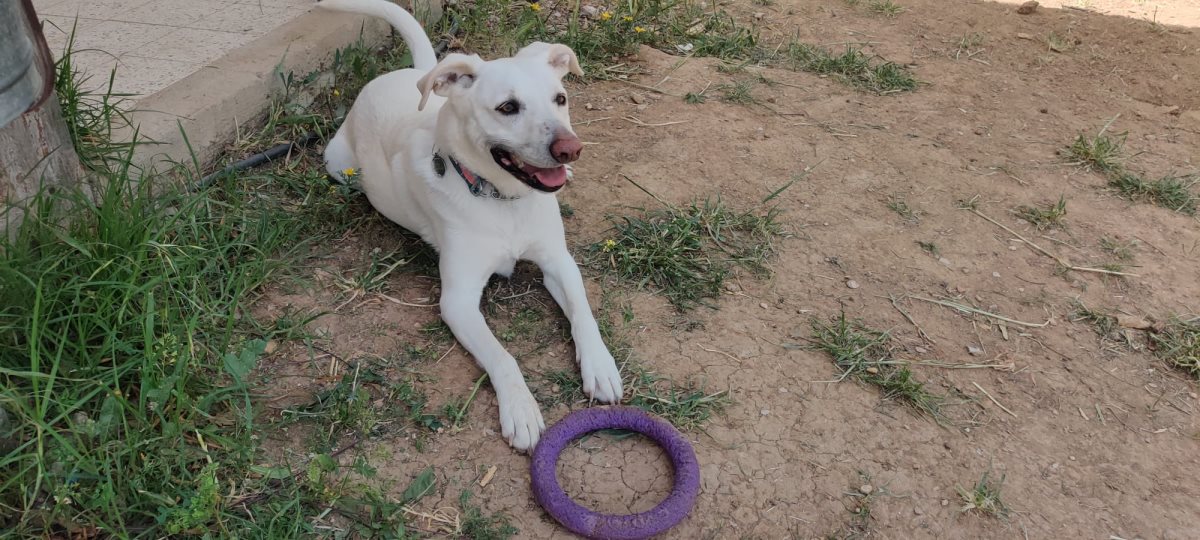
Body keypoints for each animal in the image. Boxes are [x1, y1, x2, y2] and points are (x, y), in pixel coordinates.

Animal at [314, 0, 624, 448]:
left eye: (560, 98)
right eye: (508, 107)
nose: (571, 150)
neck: (504, 202)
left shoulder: (559, 262)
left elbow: (584, 314)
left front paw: (600, 366)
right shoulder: (457, 301)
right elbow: (503, 356)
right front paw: (521, 409)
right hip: (338, 164)